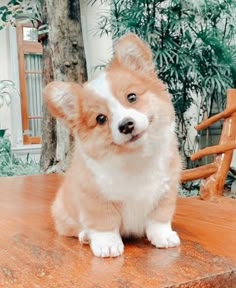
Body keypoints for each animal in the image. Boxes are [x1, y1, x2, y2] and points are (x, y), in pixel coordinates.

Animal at [45, 32, 182, 258]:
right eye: (100, 119)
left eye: (132, 97)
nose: (126, 125)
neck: (135, 158)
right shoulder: (96, 199)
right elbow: (104, 224)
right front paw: (107, 245)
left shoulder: (165, 192)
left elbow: (159, 220)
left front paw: (163, 237)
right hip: (62, 213)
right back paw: (85, 236)